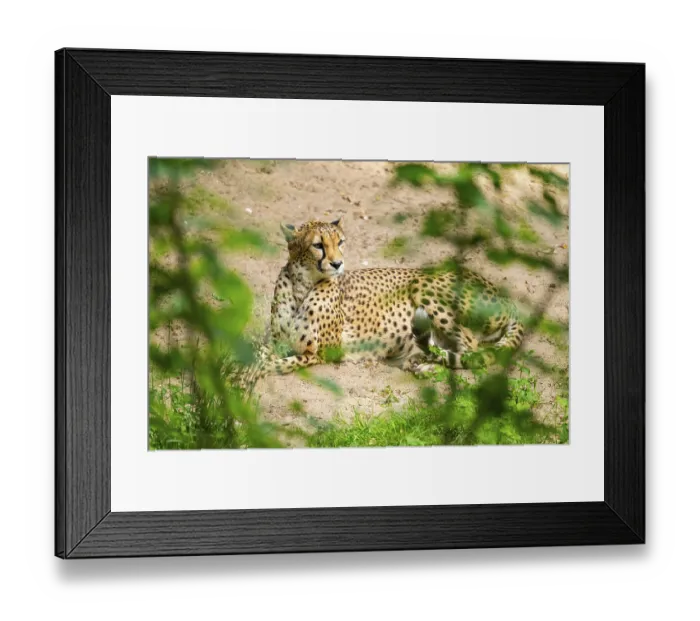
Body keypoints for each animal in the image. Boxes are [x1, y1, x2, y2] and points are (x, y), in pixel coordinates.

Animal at [234, 217, 525, 393]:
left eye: (340, 242)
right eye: (318, 245)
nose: (337, 263)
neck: (301, 287)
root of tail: (505, 297)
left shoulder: (321, 352)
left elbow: (277, 363)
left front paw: (243, 378)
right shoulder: (274, 340)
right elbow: (256, 355)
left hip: (424, 283)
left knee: (473, 350)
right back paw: (418, 362)